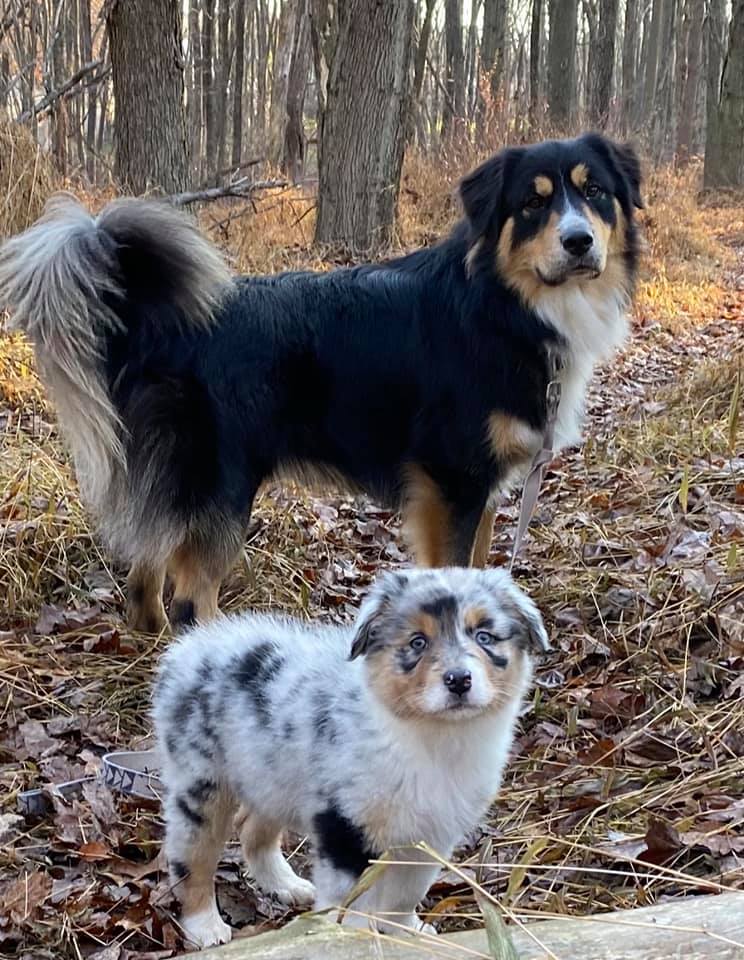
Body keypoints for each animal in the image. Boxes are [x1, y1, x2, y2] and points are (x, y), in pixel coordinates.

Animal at [0, 133, 640, 632]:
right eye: (532, 204)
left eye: (595, 193)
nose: (578, 242)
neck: (502, 305)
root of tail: (156, 323)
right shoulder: (453, 480)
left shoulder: (479, 489)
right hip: (221, 486)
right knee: (189, 599)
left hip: (179, 485)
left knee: (143, 575)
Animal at [153, 568, 548, 948]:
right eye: (417, 642)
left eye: (485, 637)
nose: (459, 680)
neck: (433, 737)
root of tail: (195, 642)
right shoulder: (345, 826)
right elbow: (351, 901)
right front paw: (350, 939)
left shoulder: (430, 834)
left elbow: (406, 893)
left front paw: (407, 932)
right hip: (200, 781)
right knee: (191, 858)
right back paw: (205, 925)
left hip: (270, 772)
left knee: (251, 828)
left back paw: (286, 885)